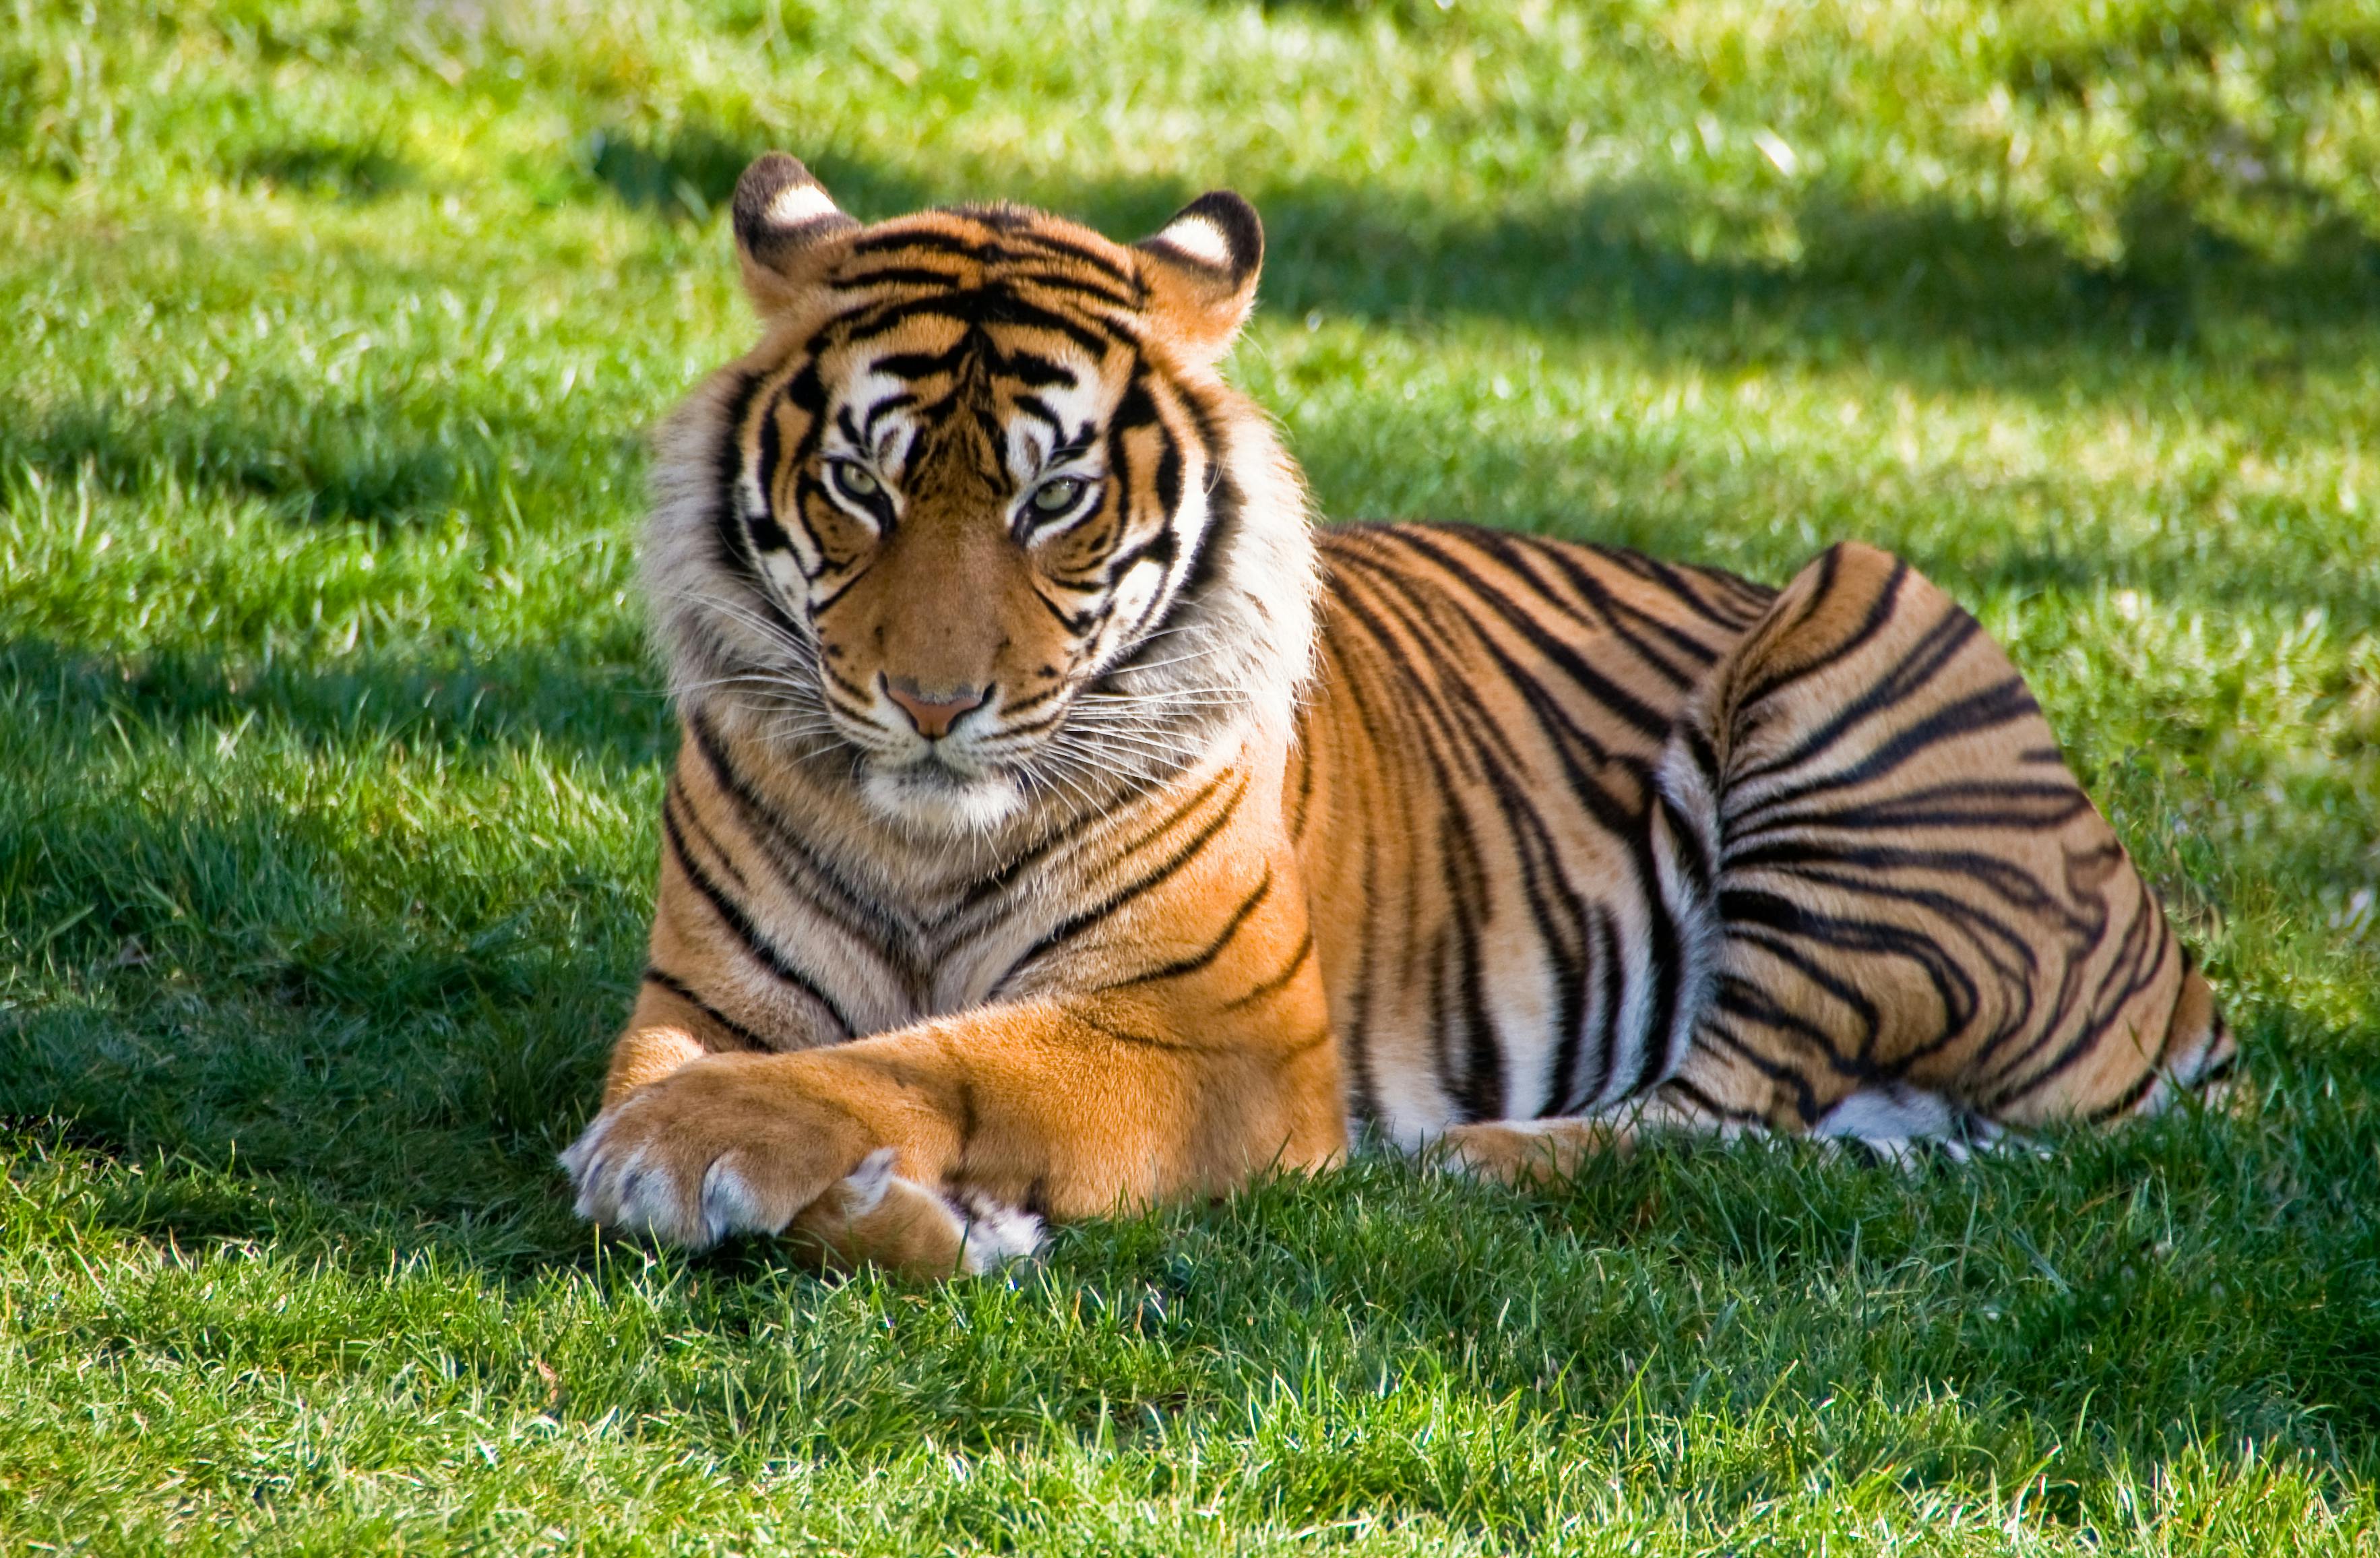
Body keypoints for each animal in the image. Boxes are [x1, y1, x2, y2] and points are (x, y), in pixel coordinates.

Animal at [557, 152, 2227, 1284]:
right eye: (862, 484)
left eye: (1054, 499)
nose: (929, 704)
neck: (924, 841)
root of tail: (2176, 970)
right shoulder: (701, 992)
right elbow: (723, 1070)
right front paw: (885, 1206)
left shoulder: (1216, 1033)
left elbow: (938, 1059)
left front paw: (688, 1155)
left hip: (1859, 617)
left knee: (1716, 1104)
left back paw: (1469, 1158)